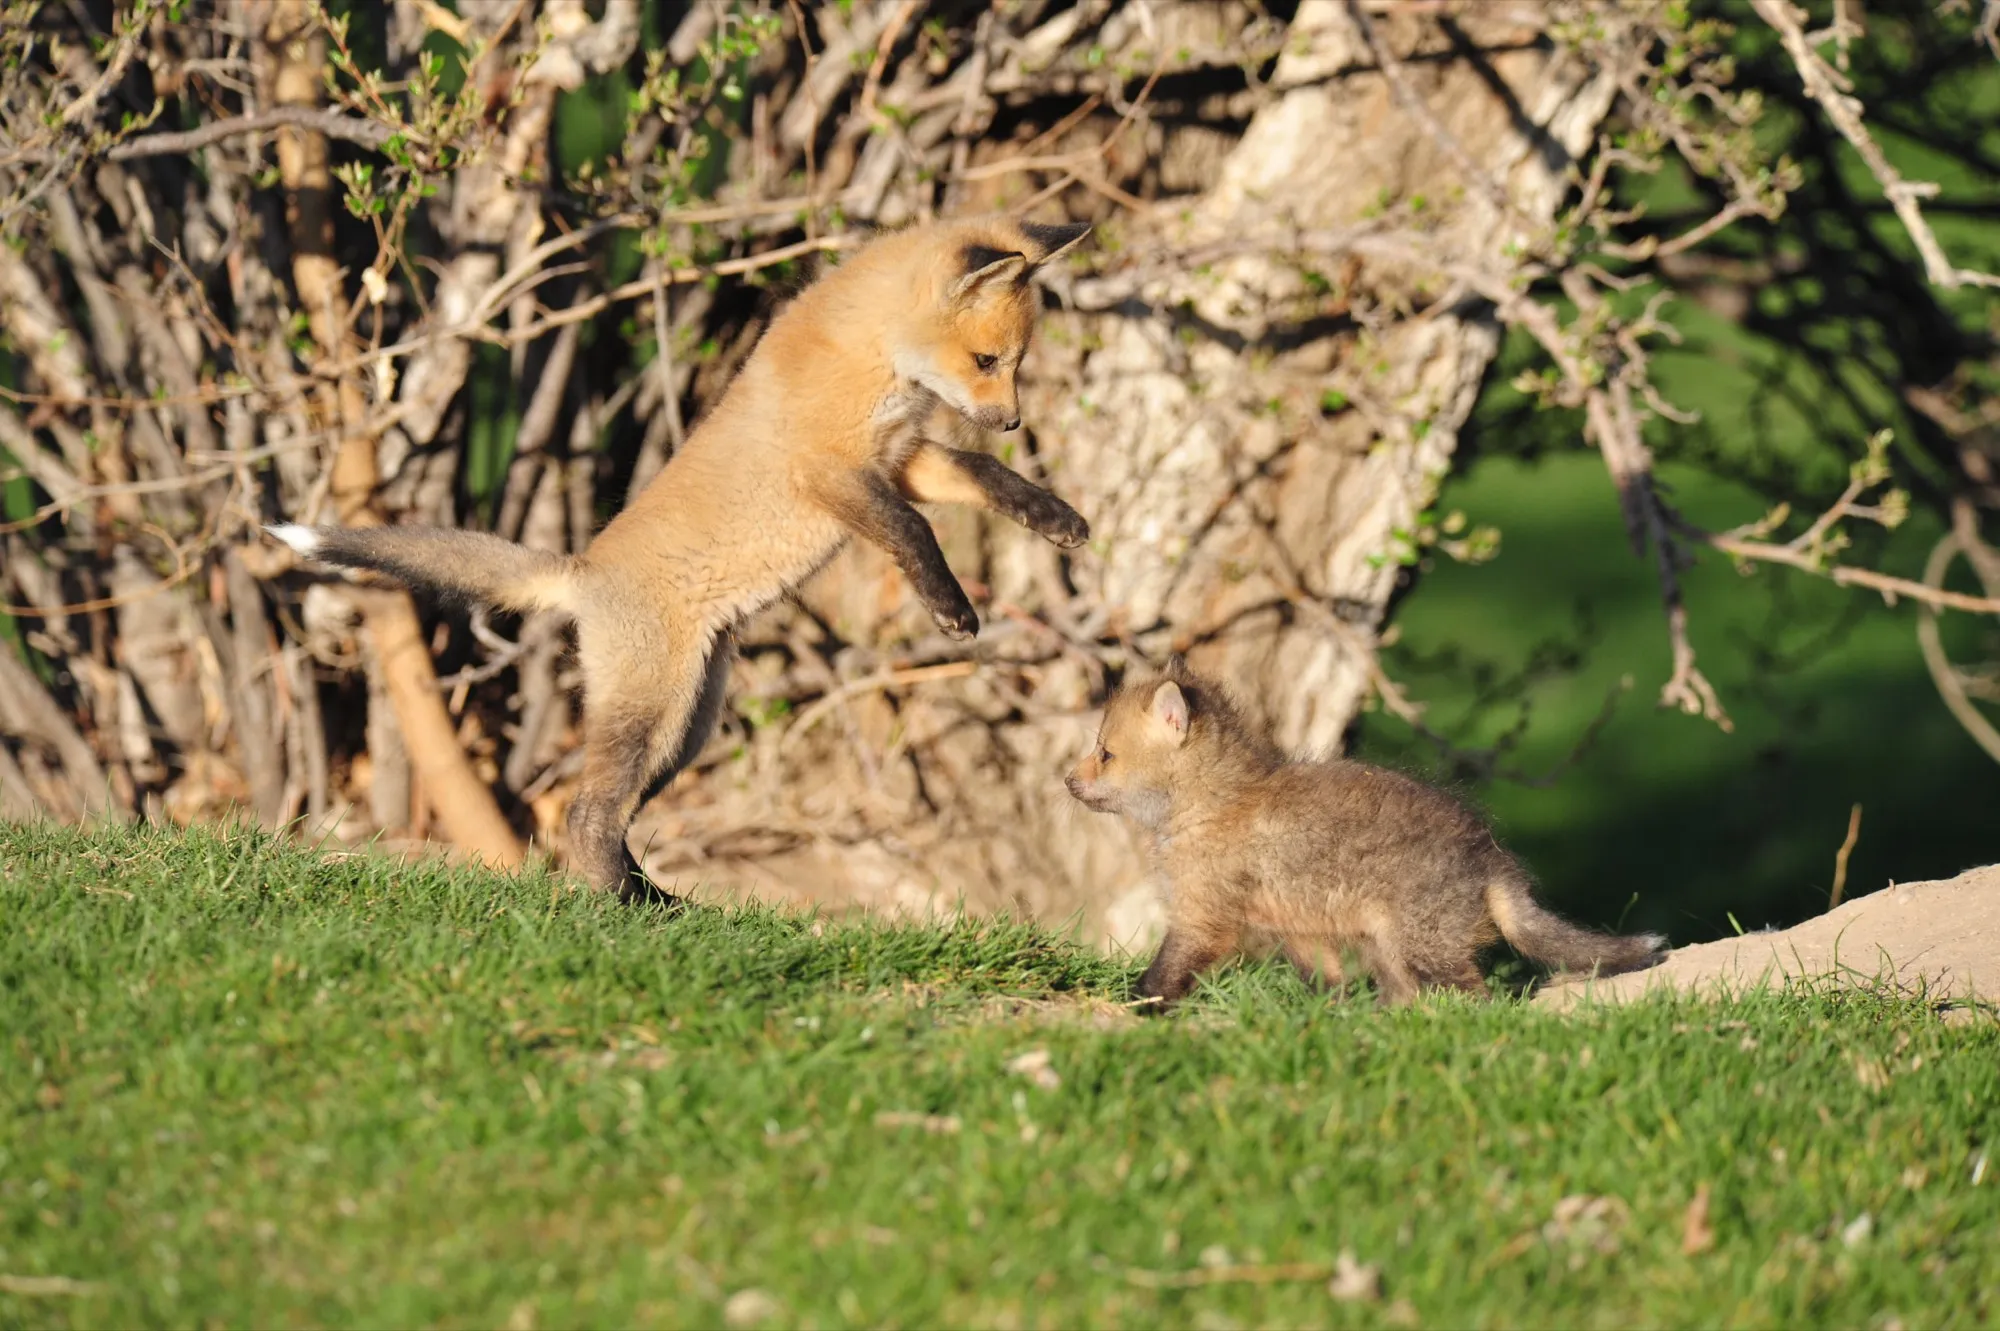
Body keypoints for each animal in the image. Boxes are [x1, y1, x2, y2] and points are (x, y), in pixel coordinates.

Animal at [271, 217, 1094, 899]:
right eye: (987, 359)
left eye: (1015, 363)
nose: (1013, 421)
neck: (873, 361)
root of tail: (582, 573)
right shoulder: (831, 473)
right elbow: (914, 531)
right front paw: (953, 607)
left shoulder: (898, 457)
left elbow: (983, 476)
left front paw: (1057, 518)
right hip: (650, 711)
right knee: (584, 812)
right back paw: (619, 905)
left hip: (686, 729)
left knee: (615, 813)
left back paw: (657, 901)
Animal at [1064, 658, 1667, 1008]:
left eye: (1105, 754)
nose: (1067, 780)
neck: (1210, 805)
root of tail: (1492, 859)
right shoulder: (1298, 926)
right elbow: (1327, 985)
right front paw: (1326, 1023)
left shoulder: (1201, 918)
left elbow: (1162, 974)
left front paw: (1137, 1006)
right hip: (1386, 948)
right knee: (1407, 998)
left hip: (1424, 947)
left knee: (1480, 997)